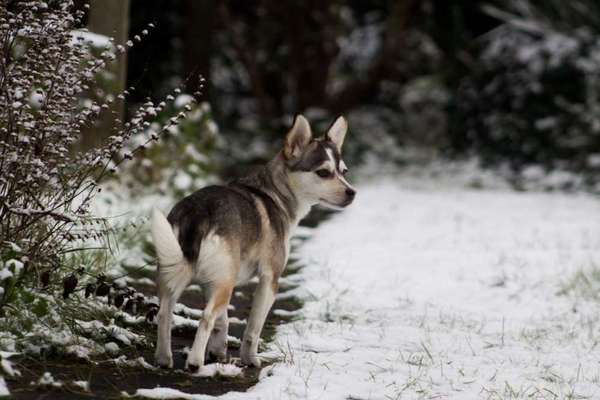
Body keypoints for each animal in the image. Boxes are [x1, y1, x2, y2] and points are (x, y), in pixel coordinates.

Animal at [151, 115, 356, 372]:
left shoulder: (212, 281)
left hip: (180, 277)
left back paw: (163, 359)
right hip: (222, 283)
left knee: (165, 314)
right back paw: (195, 363)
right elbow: (253, 328)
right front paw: (250, 359)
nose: (352, 193)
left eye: (343, 171)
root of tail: (197, 212)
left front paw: (218, 352)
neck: (276, 193)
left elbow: (223, 321)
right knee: (205, 318)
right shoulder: (269, 280)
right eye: (323, 173)